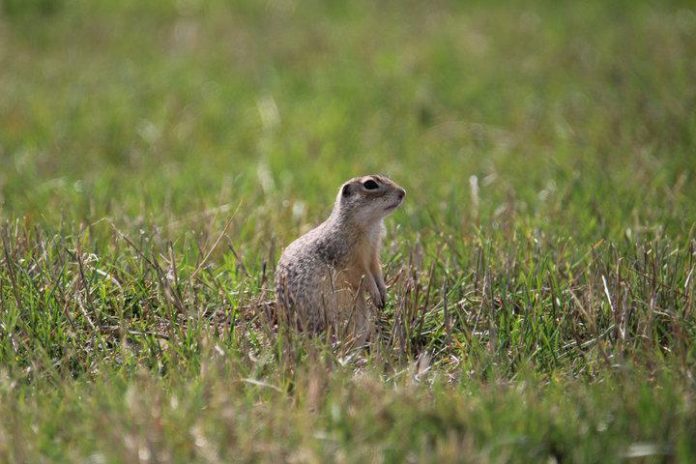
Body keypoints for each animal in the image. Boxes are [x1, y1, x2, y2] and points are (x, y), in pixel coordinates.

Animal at [274, 176, 406, 338]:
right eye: (370, 184)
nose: (402, 192)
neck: (370, 225)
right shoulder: (350, 258)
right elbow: (363, 275)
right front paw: (375, 293)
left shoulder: (373, 253)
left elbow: (376, 270)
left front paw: (383, 292)